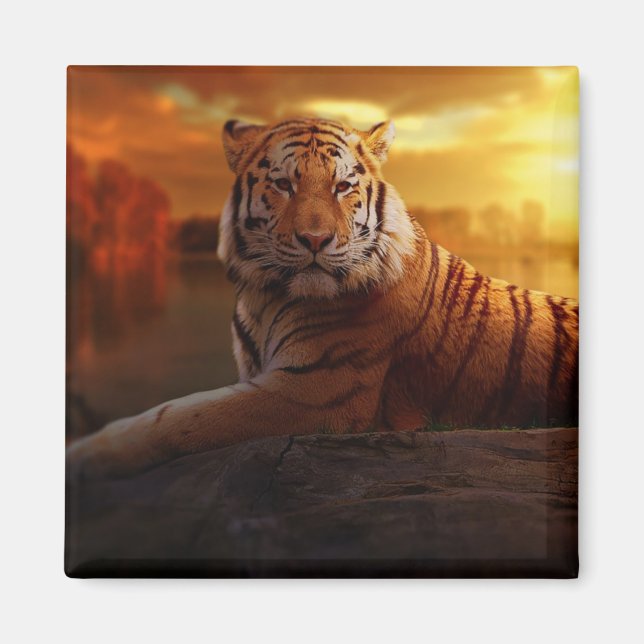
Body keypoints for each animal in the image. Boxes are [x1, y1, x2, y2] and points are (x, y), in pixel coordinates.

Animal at [66, 116, 579, 479]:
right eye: (283, 184)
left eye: (343, 185)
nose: (316, 240)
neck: (264, 296)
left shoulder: (314, 392)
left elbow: (178, 417)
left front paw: (89, 456)